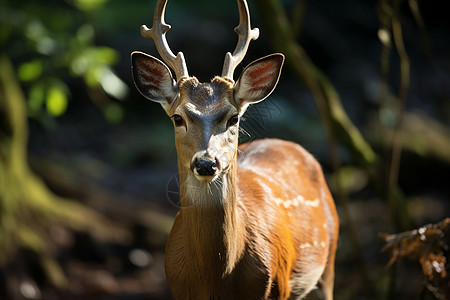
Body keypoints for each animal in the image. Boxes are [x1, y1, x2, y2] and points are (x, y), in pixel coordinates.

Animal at [130, 0, 338, 298]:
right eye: (178, 118)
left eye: (234, 118)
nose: (207, 163)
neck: (215, 278)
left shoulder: (278, 286)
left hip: (329, 260)